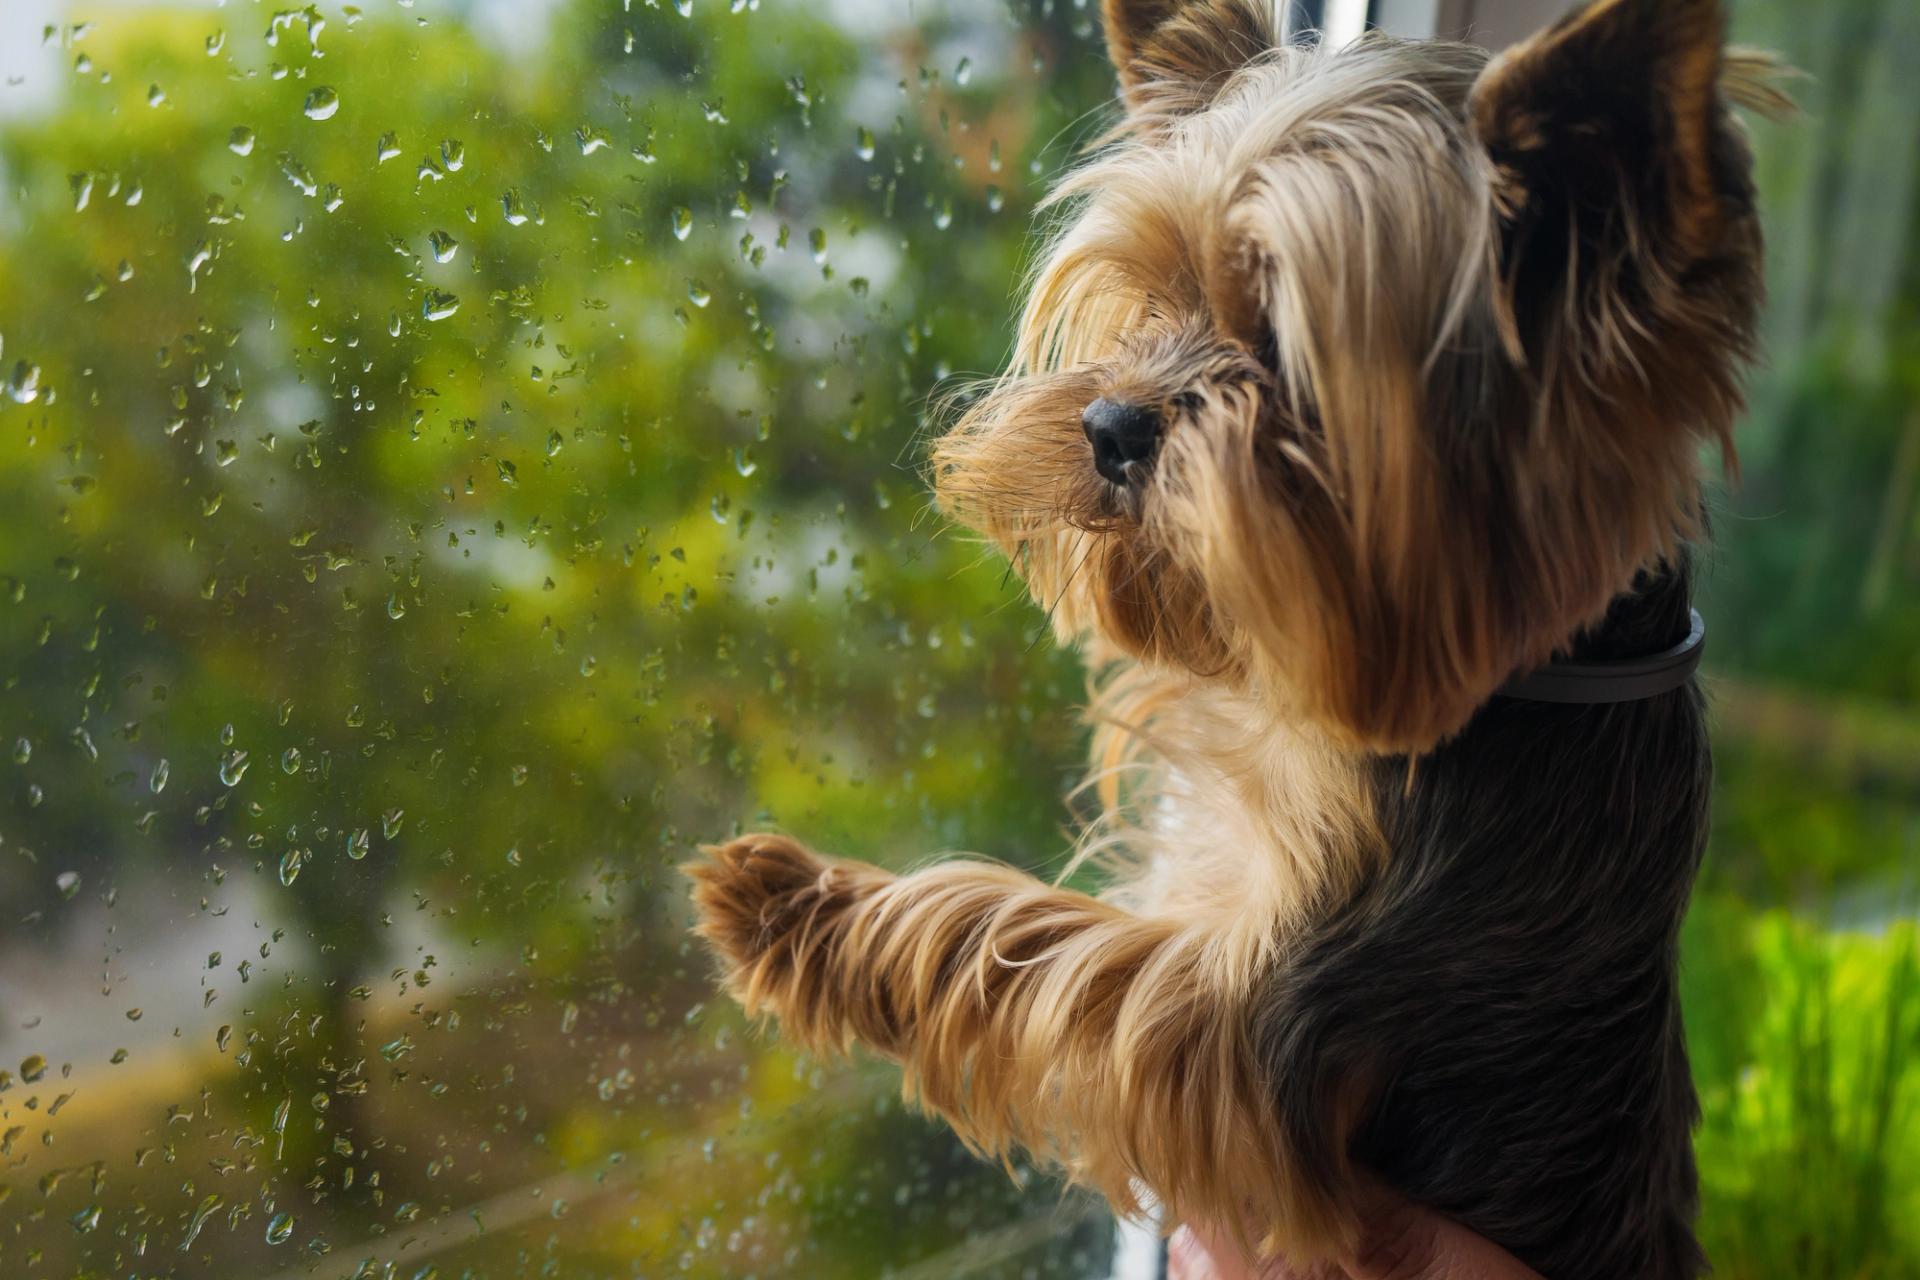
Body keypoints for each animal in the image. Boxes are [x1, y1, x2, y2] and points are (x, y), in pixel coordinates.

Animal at [687, 5, 1781, 1274]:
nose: (1109, 425)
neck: (1529, 683)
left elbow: (1032, 934)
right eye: (1160, 295)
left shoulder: (1265, 1030)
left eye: (1293, 348)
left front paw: (790, 905)